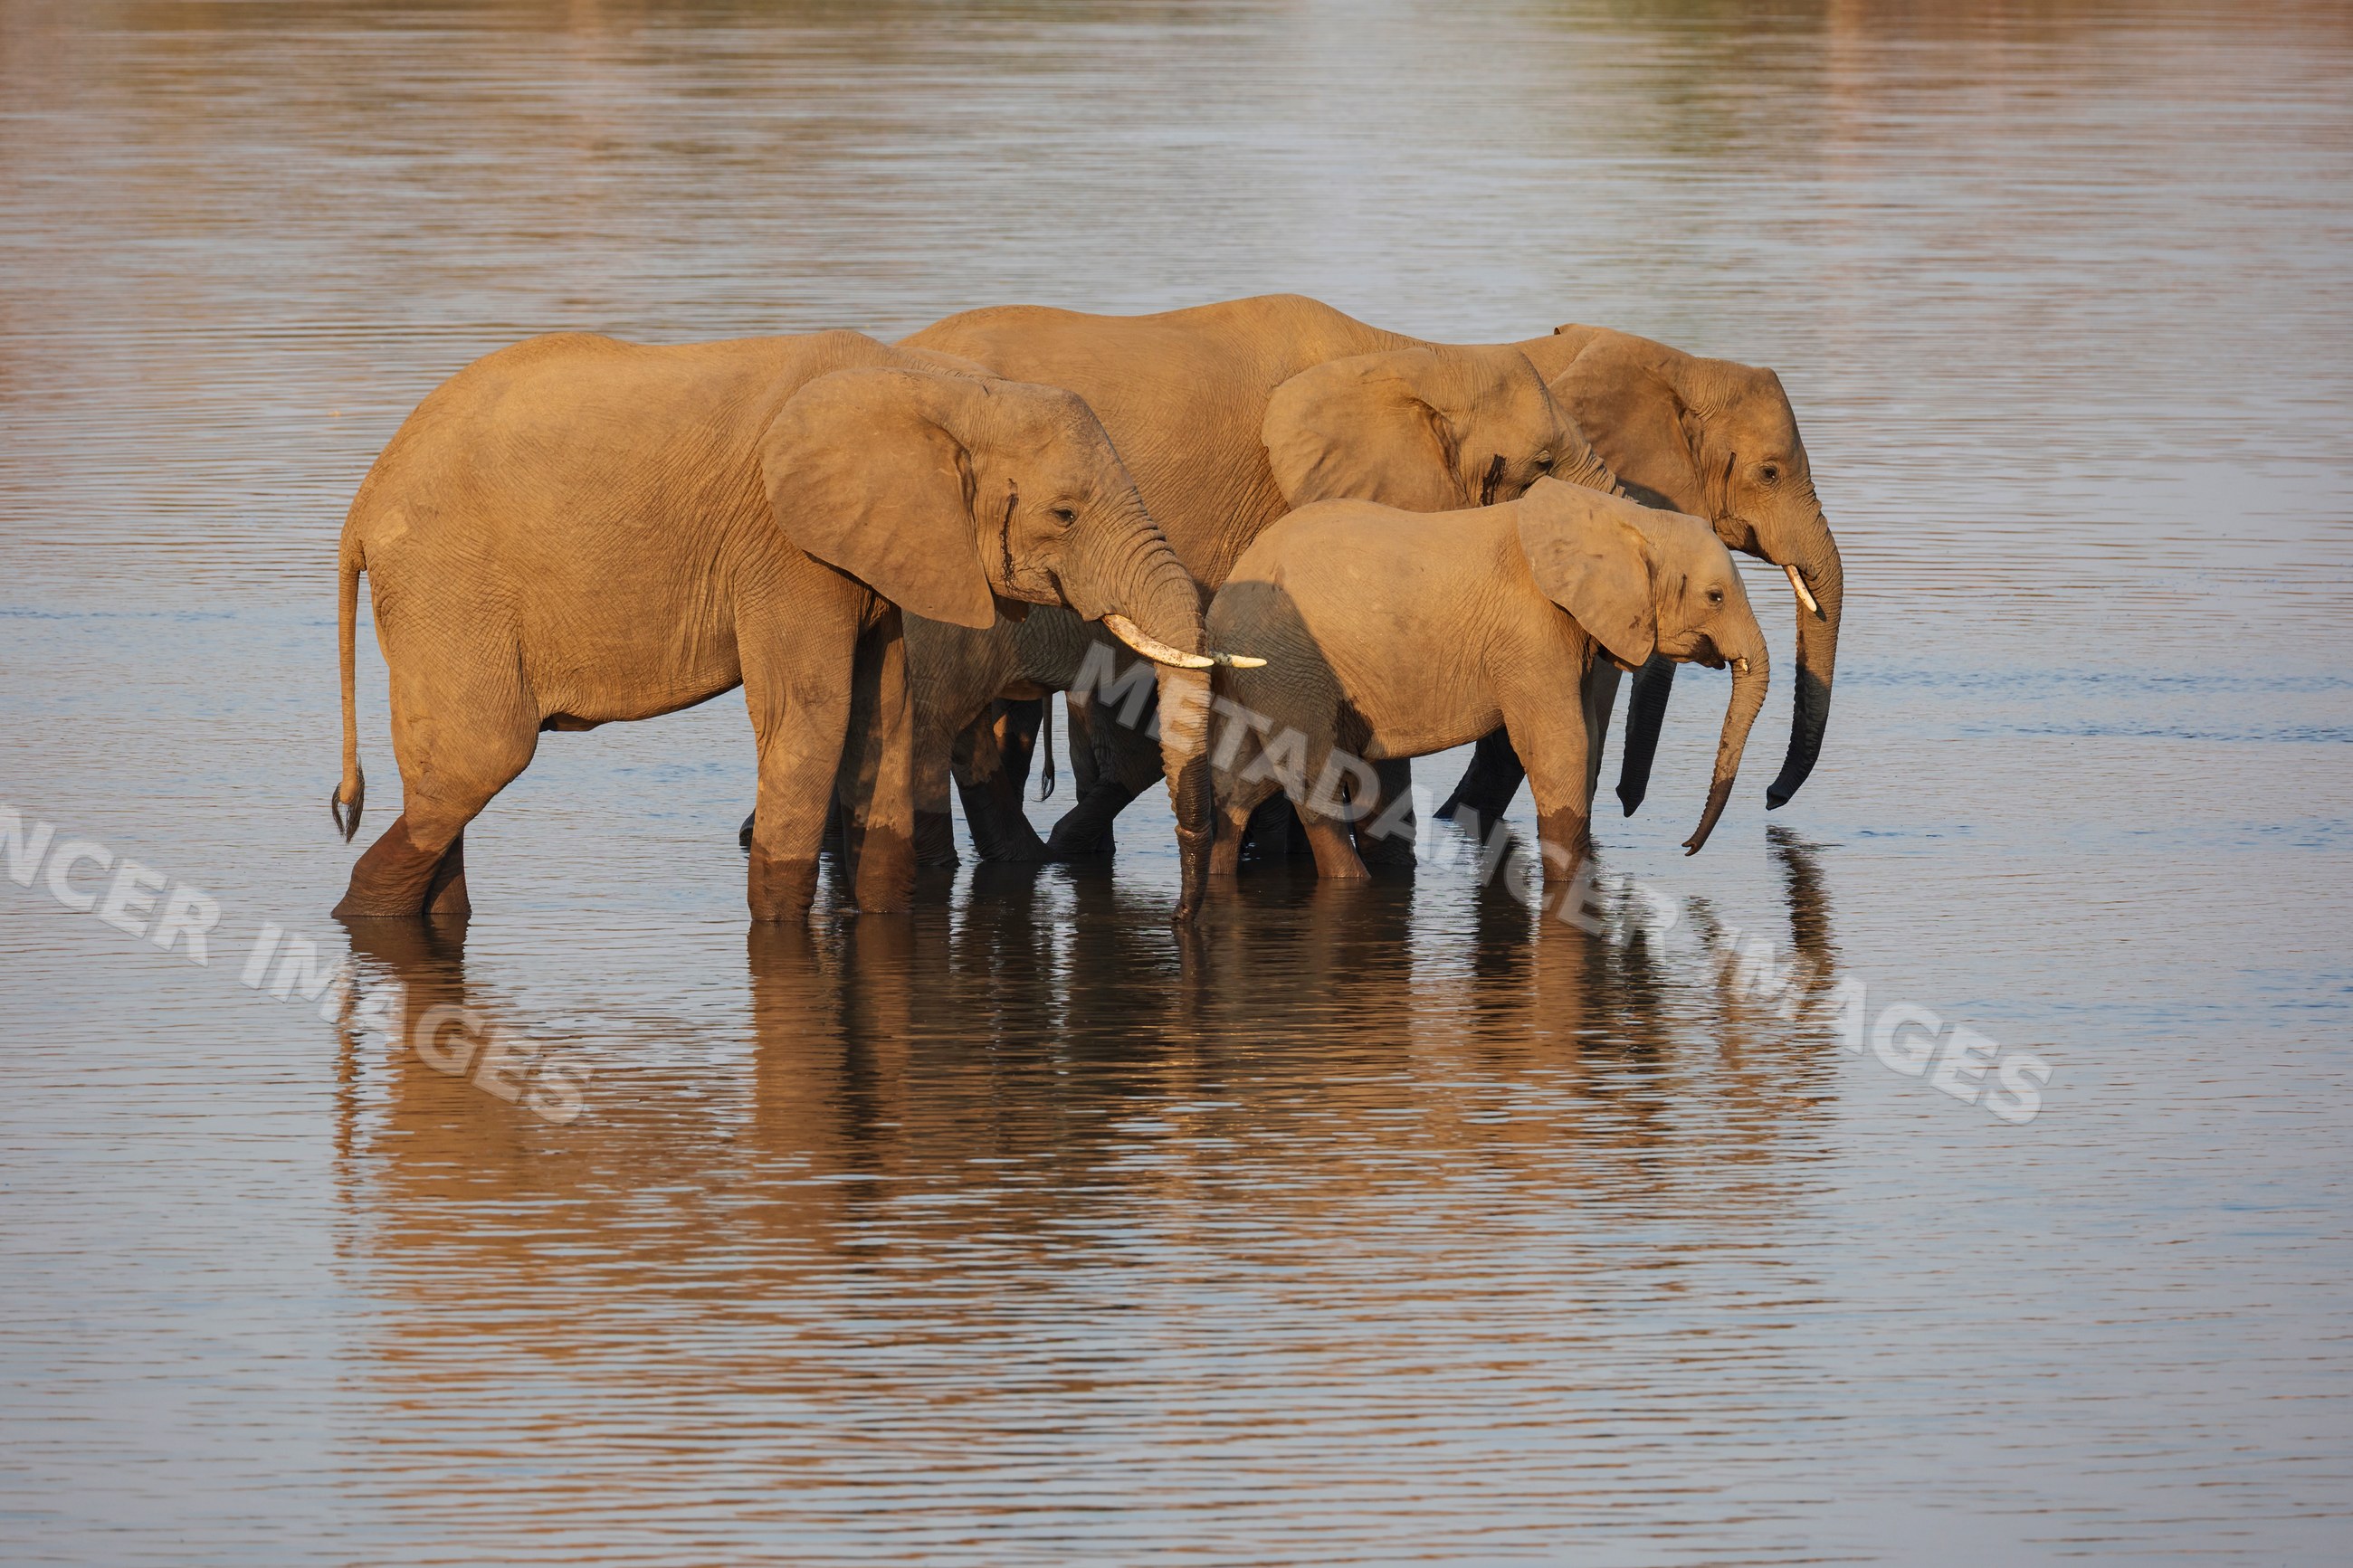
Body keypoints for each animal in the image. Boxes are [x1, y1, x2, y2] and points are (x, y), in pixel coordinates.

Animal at [328, 329, 1256, 925]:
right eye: (1064, 513)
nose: (1185, 920)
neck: (931, 383)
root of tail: (361, 506)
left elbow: (885, 716)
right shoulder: (783, 547)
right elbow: (811, 716)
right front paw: (781, 932)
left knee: (443, 780)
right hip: (448, 585)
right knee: (479, 761)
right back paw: (362, 917)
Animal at [1205, 477, 1769, 897]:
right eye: (1716, 597)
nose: (1686, 848)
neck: (1620, 519)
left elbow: (1585, 740)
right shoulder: (1530, 633)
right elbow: (1559, 744)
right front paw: (1568, 891)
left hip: (1267, 672)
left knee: (1242, 780)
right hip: (1286, 660)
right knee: (1311, 776)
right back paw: (1355, 882)